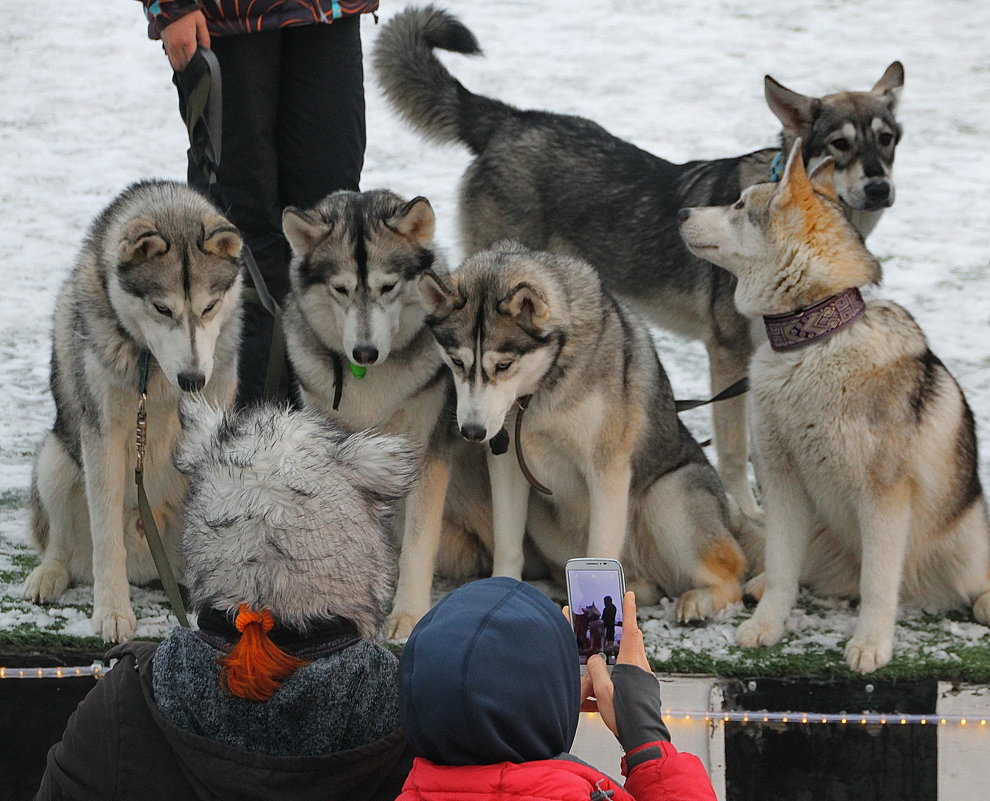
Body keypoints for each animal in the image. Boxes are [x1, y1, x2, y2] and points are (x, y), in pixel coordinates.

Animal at [23, 183, 244, 644]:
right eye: (162, 309)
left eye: (210, 307)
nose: (193, 379)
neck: (153, 370)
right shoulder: (103, 433)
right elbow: (107, 536)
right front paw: (112, 611)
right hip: (56, 461)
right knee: (62, 545)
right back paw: (49, 576)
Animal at [282, 188, 492, 636]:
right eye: (341, 289)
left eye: (389, 286)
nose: (364, 351)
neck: (369, 380)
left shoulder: (425, 454)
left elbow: (417, 543)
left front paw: (407, 614)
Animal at [374, 6, 908, 520]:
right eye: (840, 144)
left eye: (887, 140)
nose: (880, 187)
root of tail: (509, 120)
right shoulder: (727, 352)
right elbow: (735, 451)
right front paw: (747, 511)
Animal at [420, 241, 760, 620]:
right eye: (457, 362)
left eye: (504, 365)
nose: (473, 431)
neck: (539, 393)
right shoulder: (507, 465)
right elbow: (508, 545)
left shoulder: (607, 470)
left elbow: (601, 548)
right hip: (544, 521)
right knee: (647, 586)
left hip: (671, 494)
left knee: (730, 576)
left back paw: (698, 600)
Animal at [680, 141, 990, 672]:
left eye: (739, 205)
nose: (681, 212)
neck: (811, 341)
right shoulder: (781, 481)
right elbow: (783, 568)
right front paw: (765, 627)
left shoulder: (883, 499)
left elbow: (878, 584)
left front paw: (869, 646)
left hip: (963, 547)